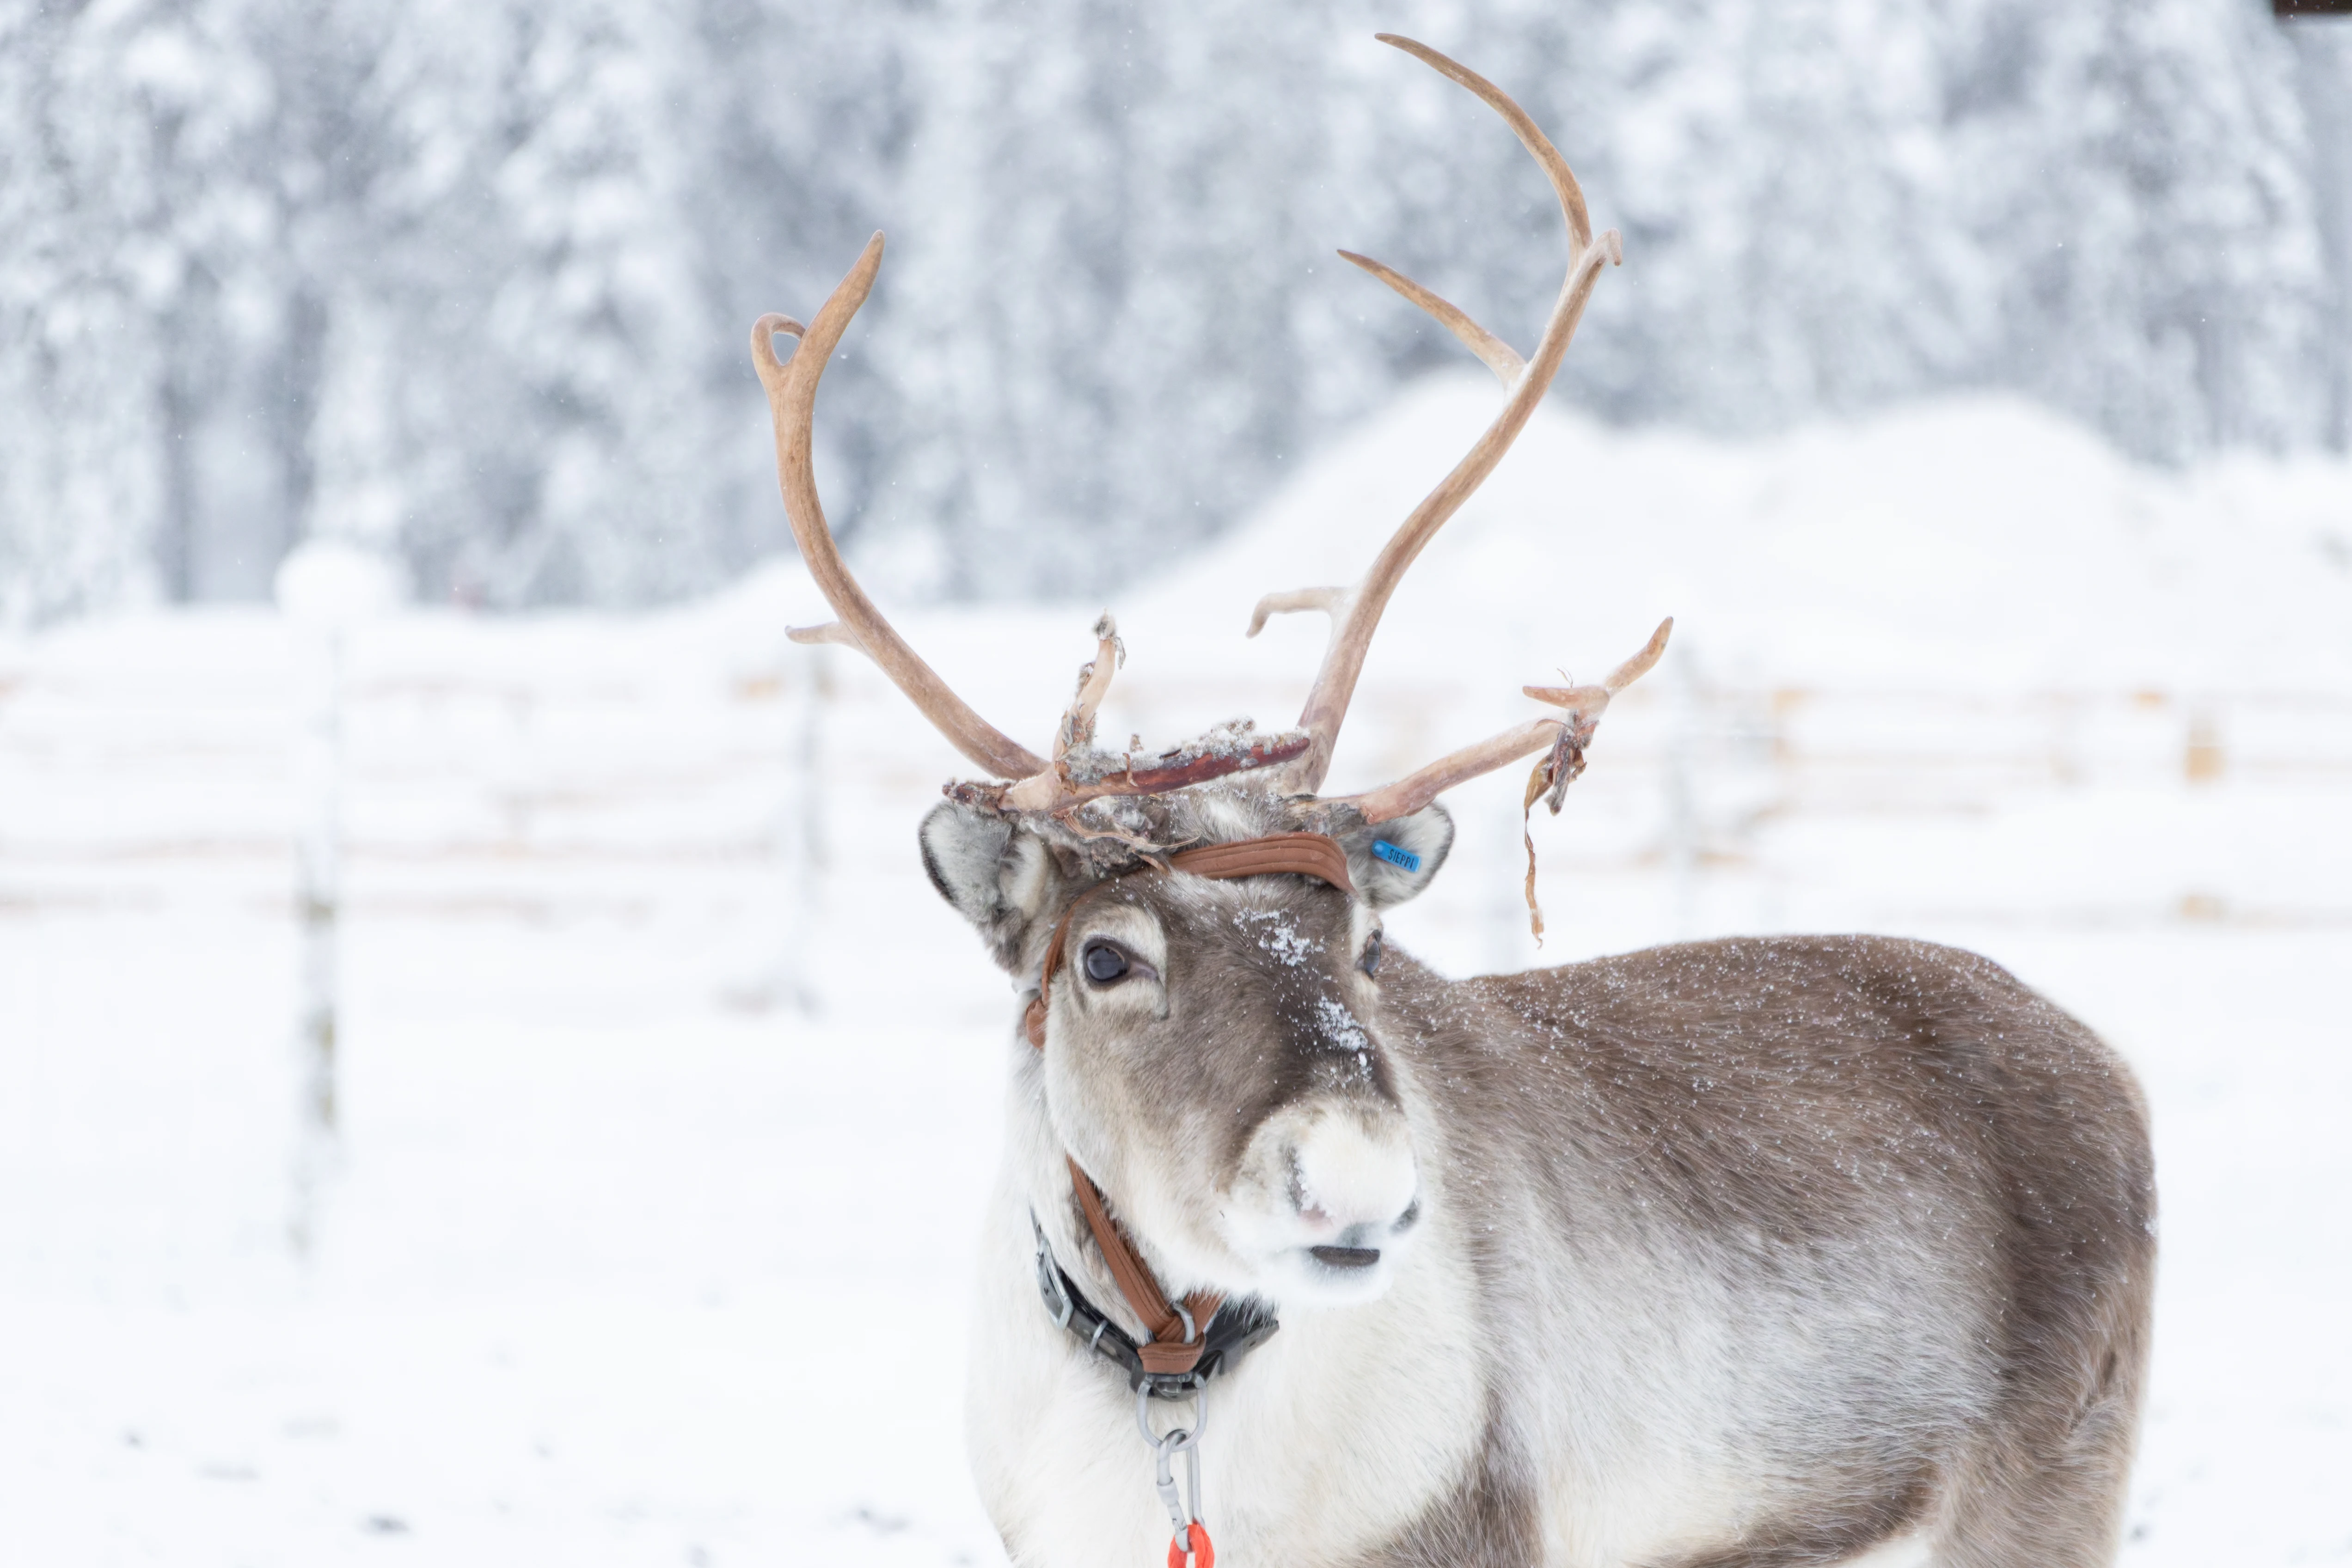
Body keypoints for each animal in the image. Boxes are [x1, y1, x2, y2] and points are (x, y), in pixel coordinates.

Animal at [748, 35, 2153, 1568]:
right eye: (1107, 959)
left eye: (1369, 943)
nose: (1356, 1180)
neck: (1174, 1402)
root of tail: (2113, 1068)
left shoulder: (1471, 1528)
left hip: (2046, 1484)